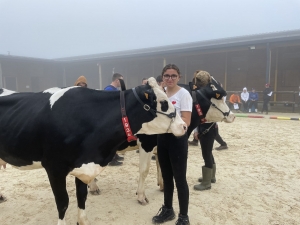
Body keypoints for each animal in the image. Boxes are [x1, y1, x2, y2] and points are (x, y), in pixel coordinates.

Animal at [0, 78, 186, 225]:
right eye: (163, 102)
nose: (183, 125)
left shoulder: (83, 164)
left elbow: (81, 196)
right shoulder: (54, 168)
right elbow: (63, 202)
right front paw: (141, 196)